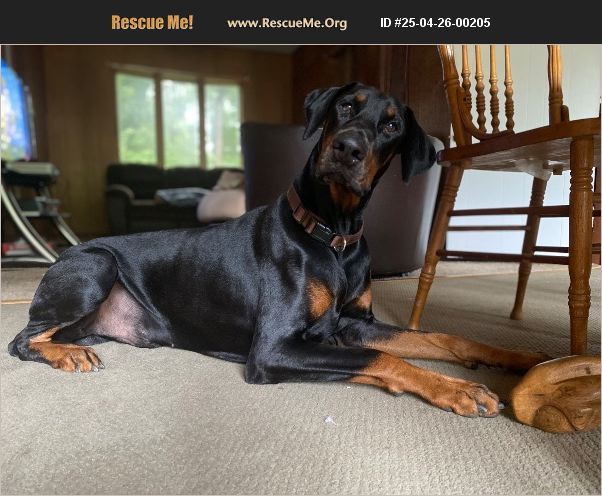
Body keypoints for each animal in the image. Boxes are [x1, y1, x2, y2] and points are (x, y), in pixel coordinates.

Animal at [8, 82, 549, 418]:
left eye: (393, 126)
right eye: (345, 107)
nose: (348, 148)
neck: (334, 234)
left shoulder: (356, 323)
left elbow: (444, 338)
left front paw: (516, 358)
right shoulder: (273, 349)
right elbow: (383, 360)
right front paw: (459, 389)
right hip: (95, 263)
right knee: (21, 341)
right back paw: (67, 355)